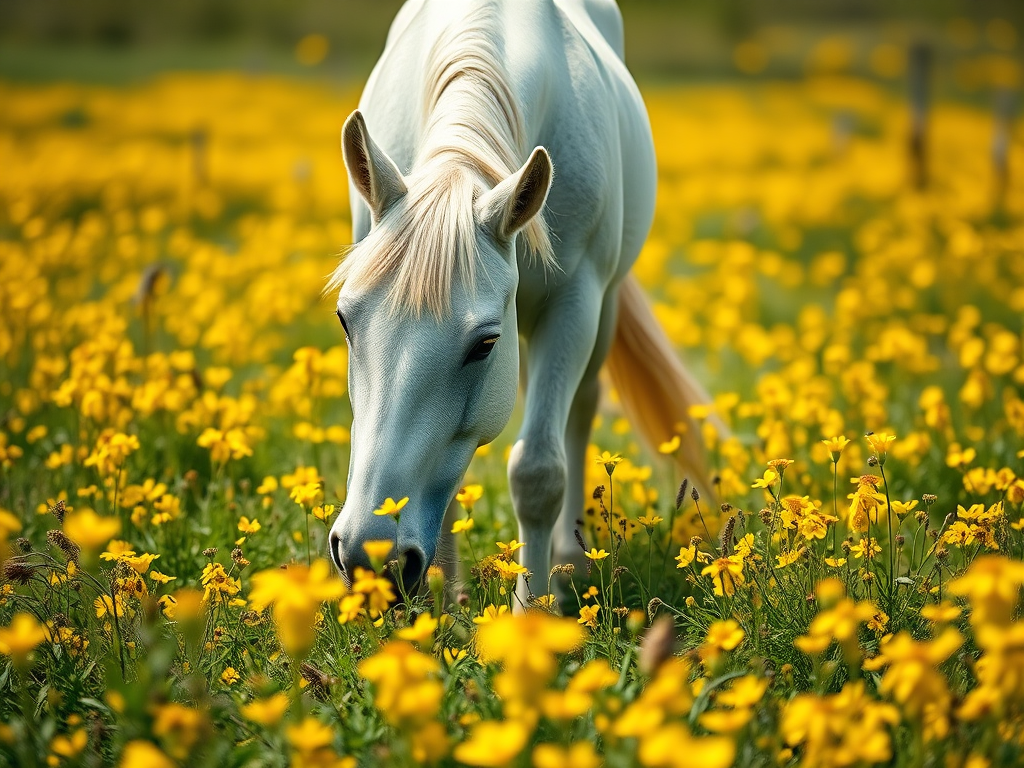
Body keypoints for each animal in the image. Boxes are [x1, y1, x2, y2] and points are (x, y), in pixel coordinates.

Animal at [326, 0, 715, 600]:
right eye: (346, 321)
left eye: (484, 345)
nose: (369, 557)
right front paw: (447, 603)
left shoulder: (573, 306)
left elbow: (537, 471)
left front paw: (531, 611)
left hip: (595, 316)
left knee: (580, 410)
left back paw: (571, 559)